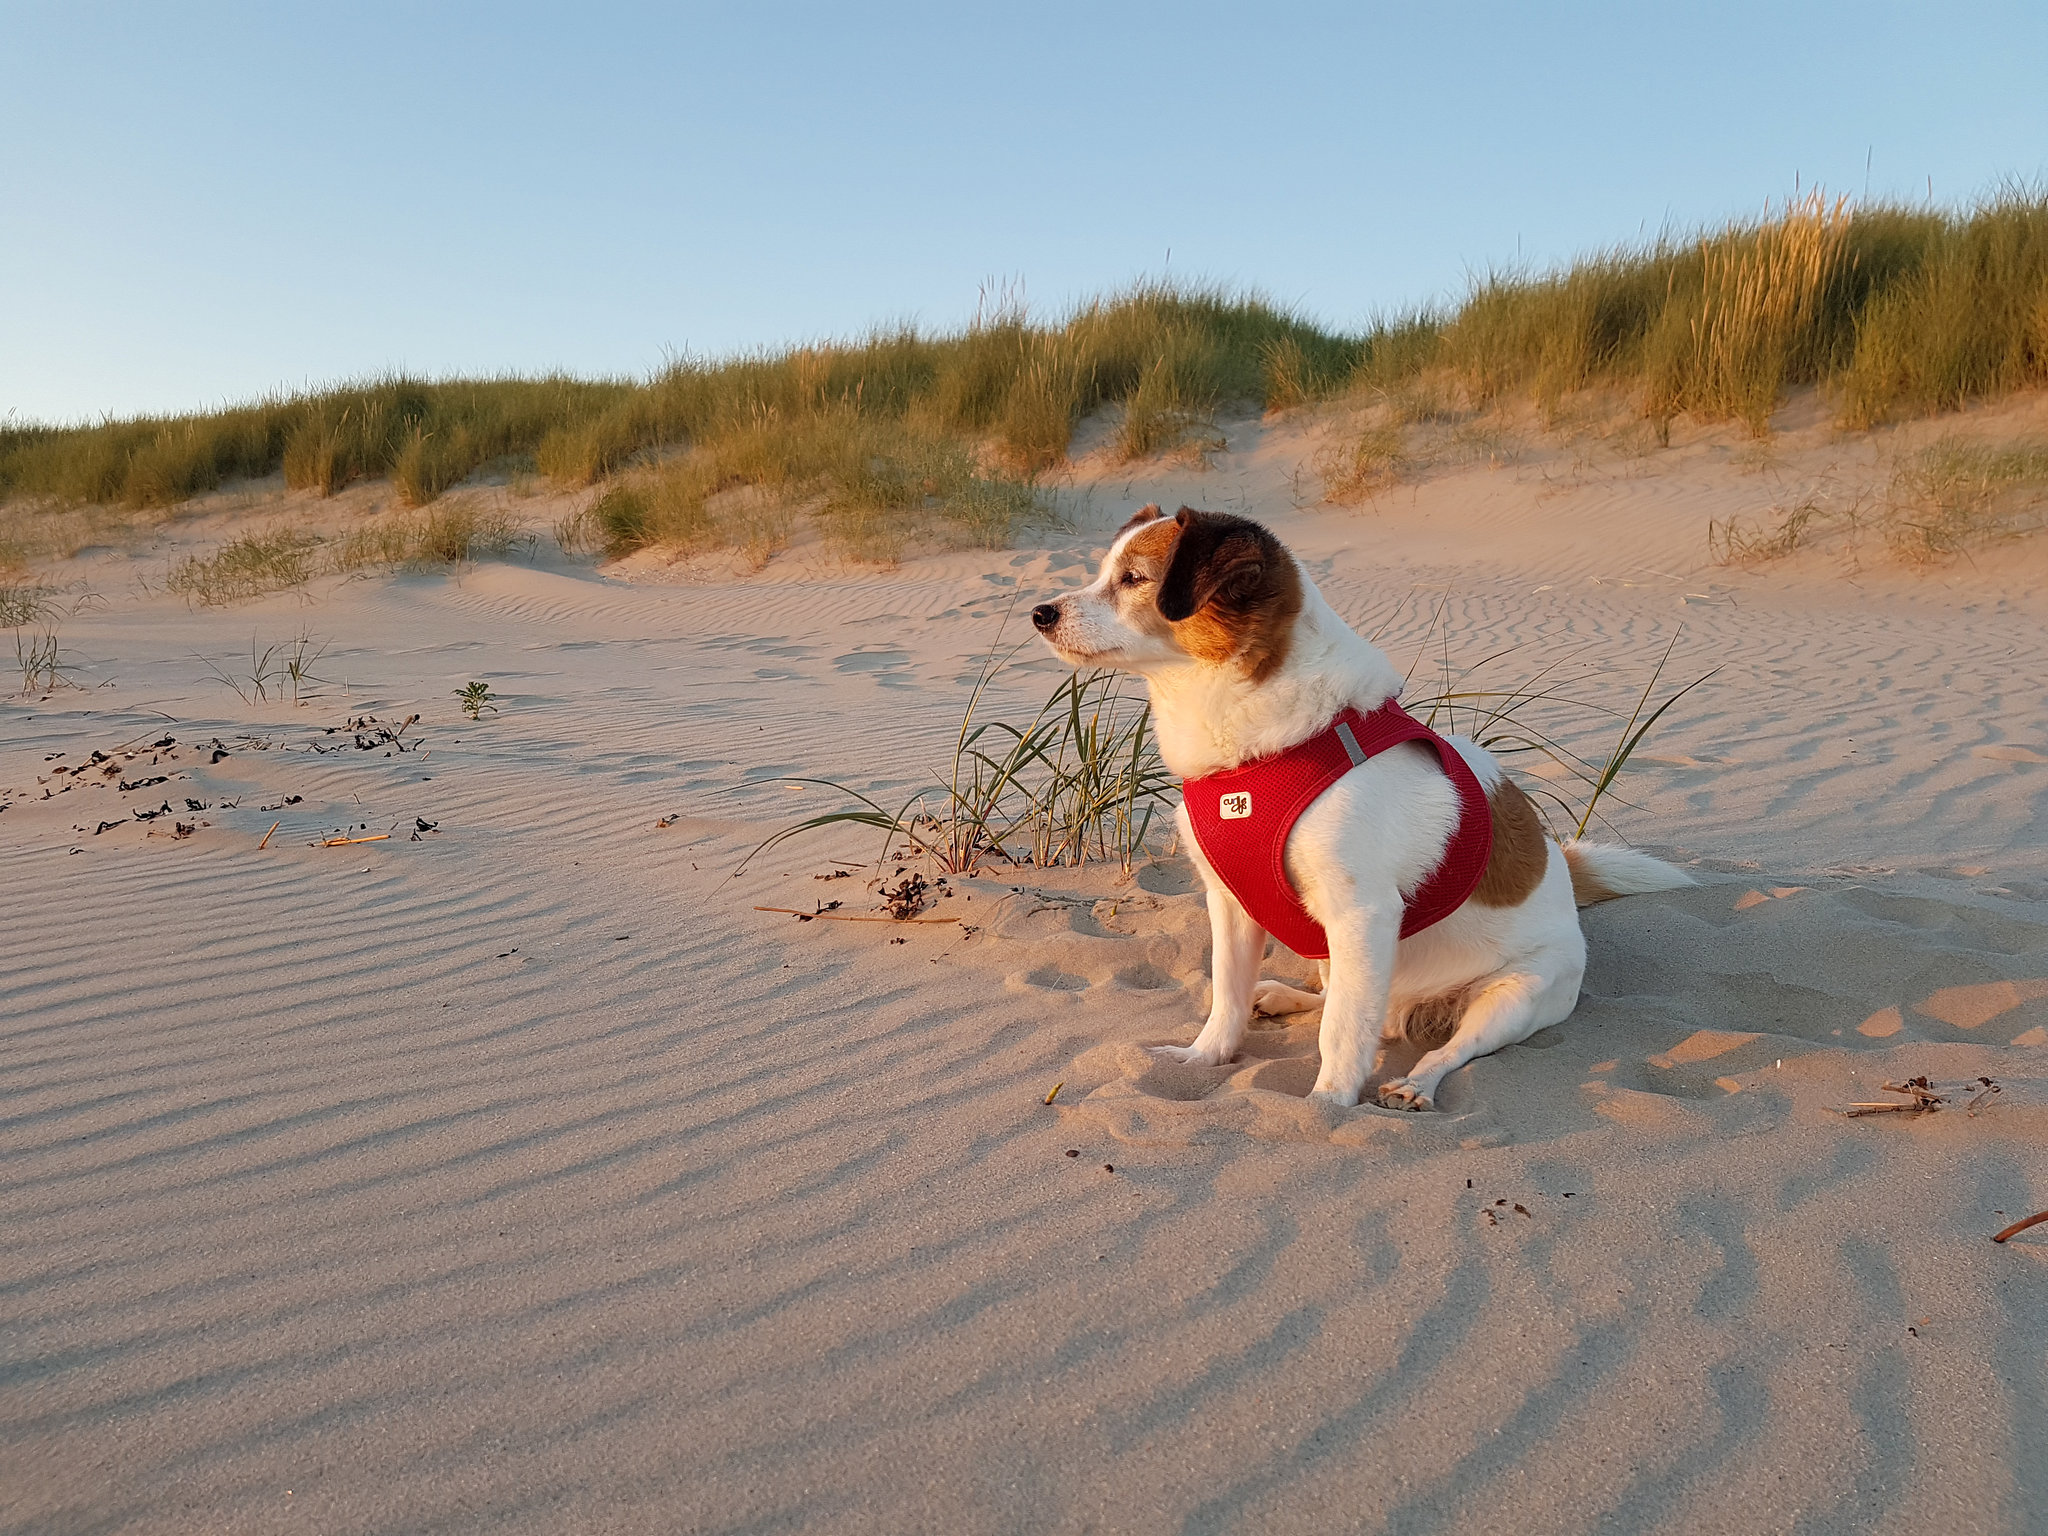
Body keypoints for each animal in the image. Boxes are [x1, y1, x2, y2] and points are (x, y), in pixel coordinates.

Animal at [1032, 512, 1687, 1114]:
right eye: (1104, 572)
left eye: (1134, 578)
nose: (1040, 613)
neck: (1260, 754)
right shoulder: (1232, 905)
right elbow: (1228, 998)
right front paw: (1203, 1057)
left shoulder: (1362, 915)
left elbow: (1343, 1033)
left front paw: (1327, 1103)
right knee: (1344, 998)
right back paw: (1284, 997)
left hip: (1515, 995)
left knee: (1443, 1044)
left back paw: (1414, 1084)